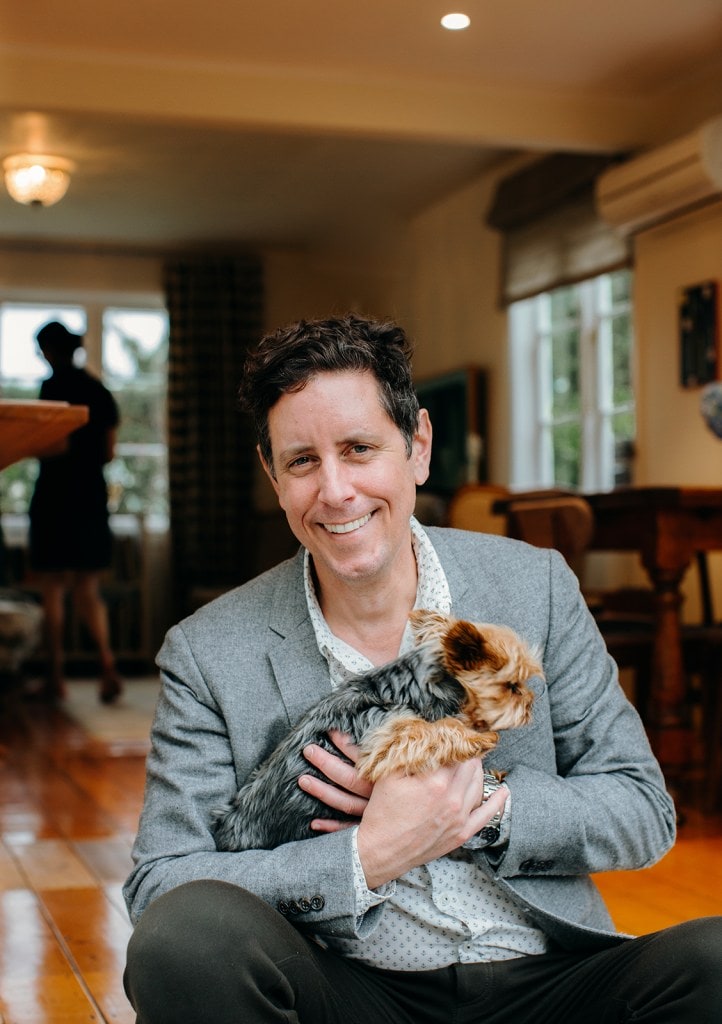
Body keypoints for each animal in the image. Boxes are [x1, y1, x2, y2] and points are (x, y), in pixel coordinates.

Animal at [210, 610, 536, 851]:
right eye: (512, 687)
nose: (531, 703)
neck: (410, 687)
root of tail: (226, 826)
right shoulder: (388, 736)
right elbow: (433, 731)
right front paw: (478, 737)